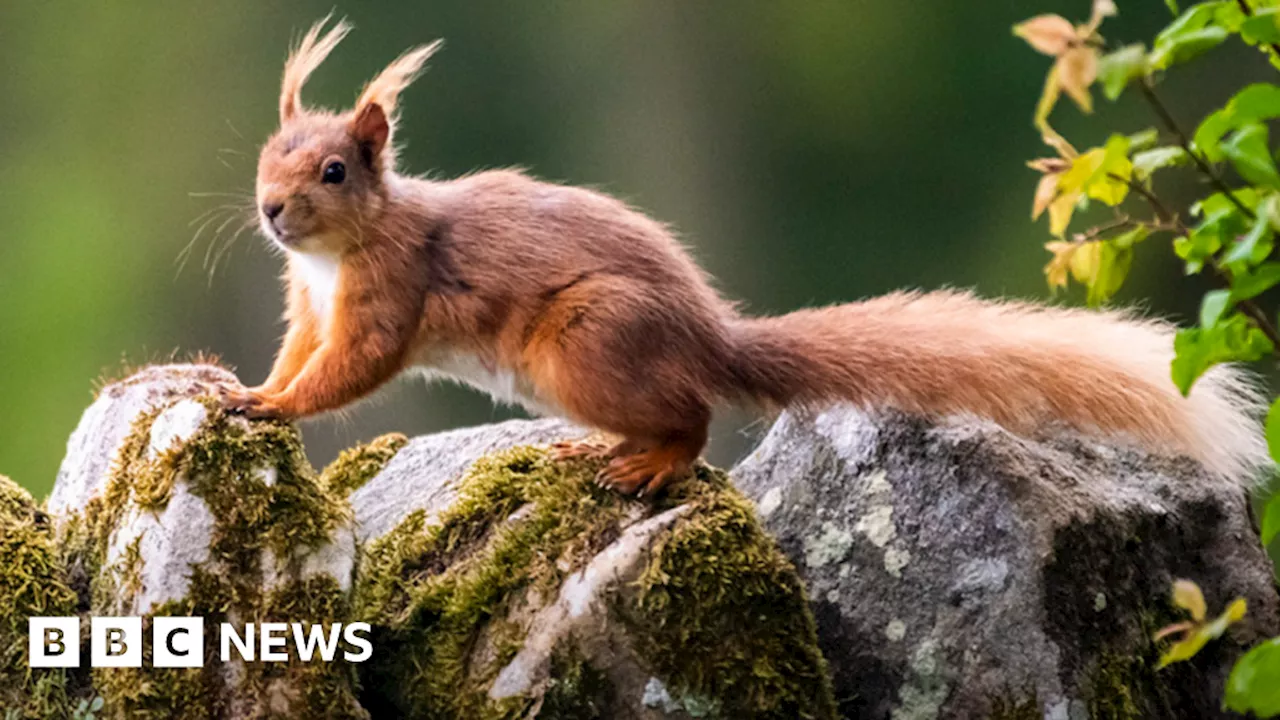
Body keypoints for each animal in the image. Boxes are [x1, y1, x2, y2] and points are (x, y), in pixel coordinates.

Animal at [222, 20, 1269, 491]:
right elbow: (299, 352)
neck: (335, 255)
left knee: (690, 419)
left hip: (588, 343)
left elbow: (352, 367)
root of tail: (710, 339)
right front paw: (247, 383)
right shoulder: (309, 301)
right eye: (265, 156)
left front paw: (269, 406)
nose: (271, 211)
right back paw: (605, 448)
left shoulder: (390, 291)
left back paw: (649, 462)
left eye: (334, 170)